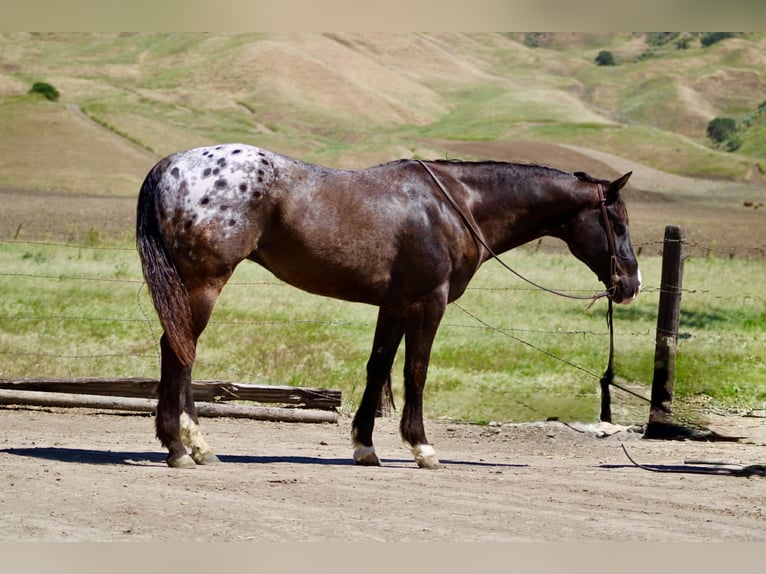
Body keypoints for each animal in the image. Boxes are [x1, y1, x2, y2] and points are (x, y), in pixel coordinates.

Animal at [136, 143, 641, 469]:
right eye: (617, 222)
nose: (632, 284)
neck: (456, 206)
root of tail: (171, 165)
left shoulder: (395, 305)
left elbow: (377, 366)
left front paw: (365, 447)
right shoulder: (429, 302)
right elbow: (415, 370)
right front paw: (422, 449)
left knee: (178, 349)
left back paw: (195, 446)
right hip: (203, 283)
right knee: (178, 352)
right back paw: (182, 449)